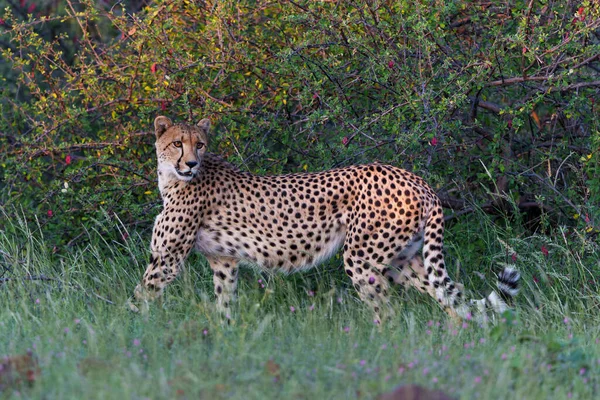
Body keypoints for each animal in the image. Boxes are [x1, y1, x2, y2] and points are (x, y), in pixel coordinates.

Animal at [132, 115, 520, 322]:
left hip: (363, 258)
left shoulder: (166, 259)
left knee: (388, 314)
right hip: (404, 259)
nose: (191, 162)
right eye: (178, 143)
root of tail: (415, 178)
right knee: (453, 301)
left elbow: (139, 298)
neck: (173, 178)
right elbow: (224, 304)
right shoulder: (223, 262)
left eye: (199, 144)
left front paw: (132, 331)